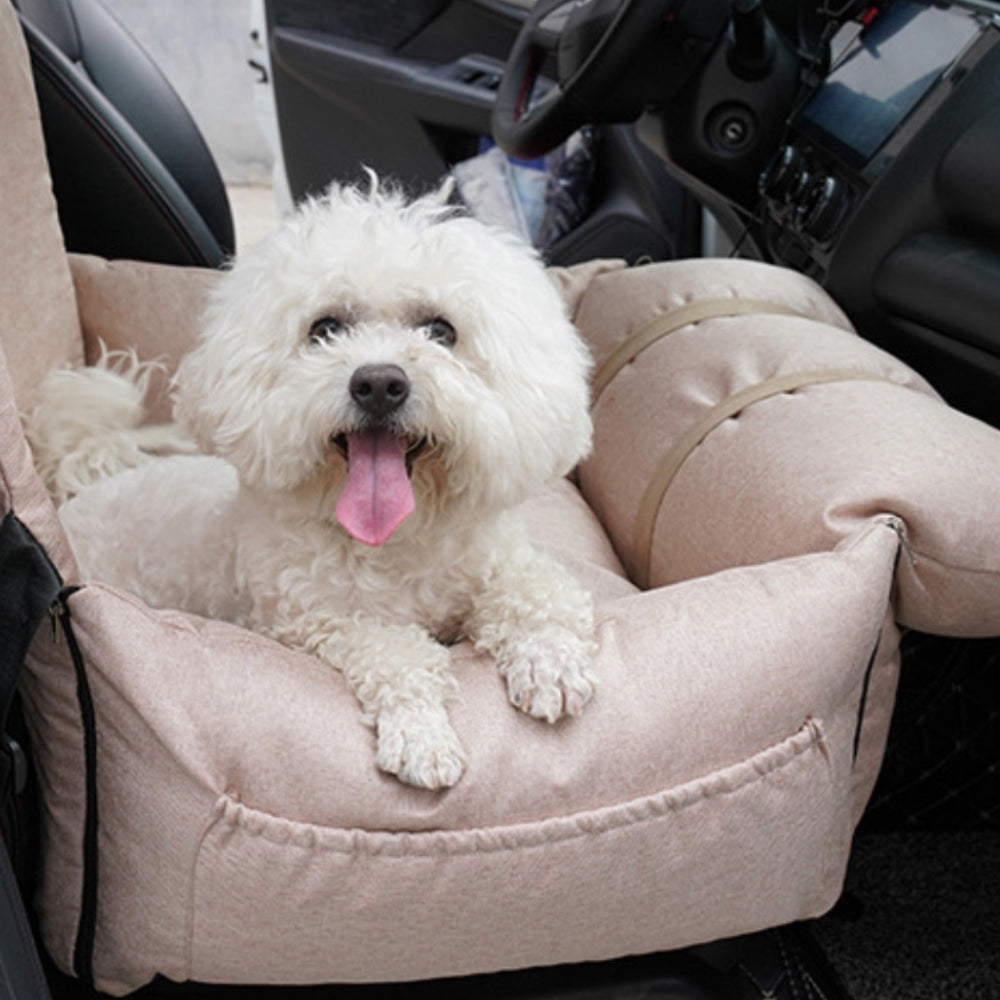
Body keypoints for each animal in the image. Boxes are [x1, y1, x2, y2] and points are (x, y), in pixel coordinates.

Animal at [27, 178, 596, 788]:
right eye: (325, 329)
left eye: (441, 331)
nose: (379, 383)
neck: (397, 541)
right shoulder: (311, 619)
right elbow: (393, 650)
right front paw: (420, 733)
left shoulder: (498, 561)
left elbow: (538, 591)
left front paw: (549, 662)